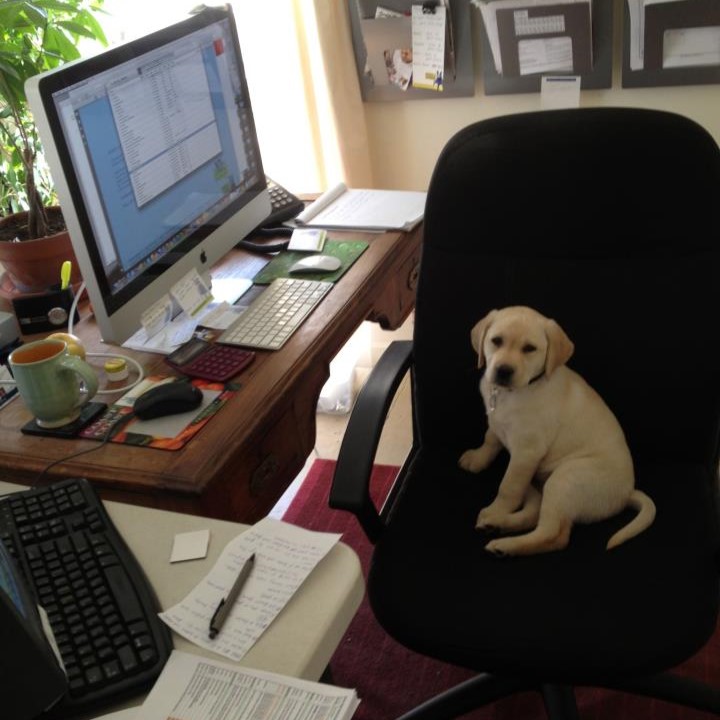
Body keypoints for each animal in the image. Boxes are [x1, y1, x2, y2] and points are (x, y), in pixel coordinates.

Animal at [458, 304, 656, 556]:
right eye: (496, 341)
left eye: (529, 349)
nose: (503, 370)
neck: (516, 391)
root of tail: (627, 492)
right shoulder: (497, 422)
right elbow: (490, 439)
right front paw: (477, 459)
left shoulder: (527, 452)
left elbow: (508, 486)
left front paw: (497, 509)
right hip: (541, 483)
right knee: (535, 514)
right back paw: (497, 526)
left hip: (565, 479)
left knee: (553, 534)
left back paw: (504, 541)